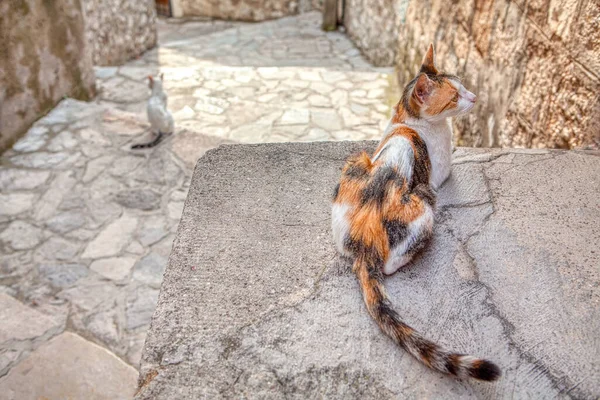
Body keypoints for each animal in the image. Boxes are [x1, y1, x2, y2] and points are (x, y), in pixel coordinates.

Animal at [330, 43, 500, 382]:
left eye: (463, 86)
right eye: (455, 96)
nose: (474, 97)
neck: (406, 121)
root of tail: (365, 239)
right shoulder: (440, 175)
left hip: (354, 162)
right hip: (424, 206)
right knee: (391, 264)